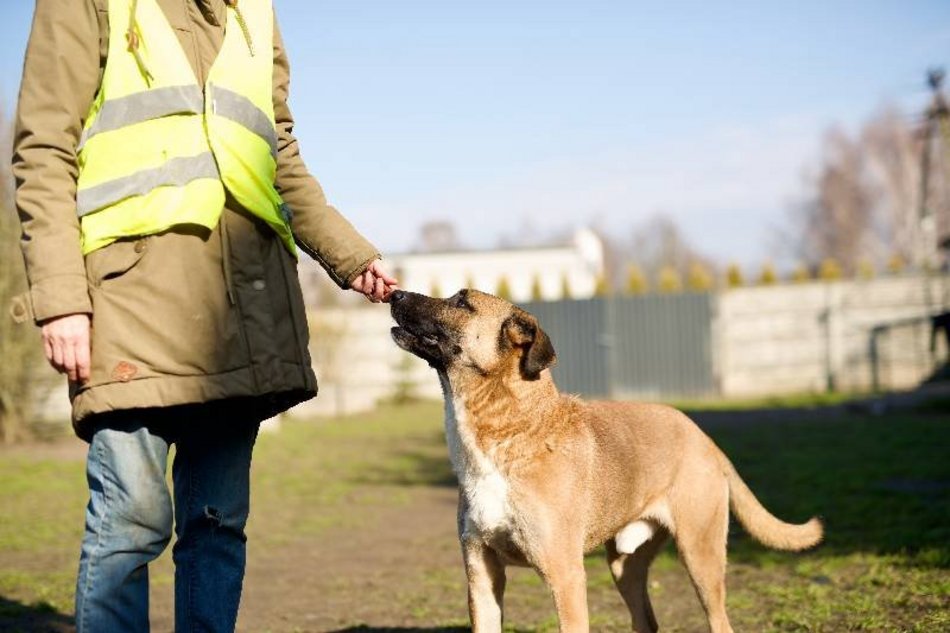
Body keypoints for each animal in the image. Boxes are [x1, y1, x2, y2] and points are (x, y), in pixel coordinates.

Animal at [390, 288, 820, 628]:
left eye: (461, 302)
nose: (395, 293)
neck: (513, 430)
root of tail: (702, 436)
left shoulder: (565, 577)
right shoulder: (481, 576)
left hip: (701, 556)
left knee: (719, 621)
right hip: (624, 565)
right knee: (647, 622)